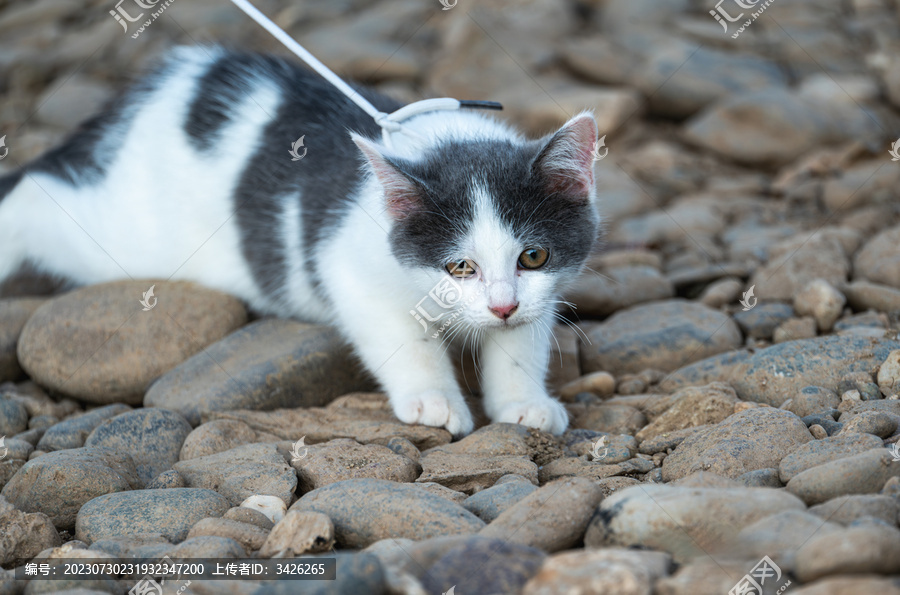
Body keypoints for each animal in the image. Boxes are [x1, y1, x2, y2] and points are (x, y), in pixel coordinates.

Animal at [1, 46, 604, 436]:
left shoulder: (544, 291)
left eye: (533, 256)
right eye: (459, 266)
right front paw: (433, 398)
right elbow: (403, 338)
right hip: (130, 235)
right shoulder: (348, 267)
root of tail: (177, 79)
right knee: (36, 195)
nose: (502, 305)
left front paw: (525, 402)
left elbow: (522, 341)